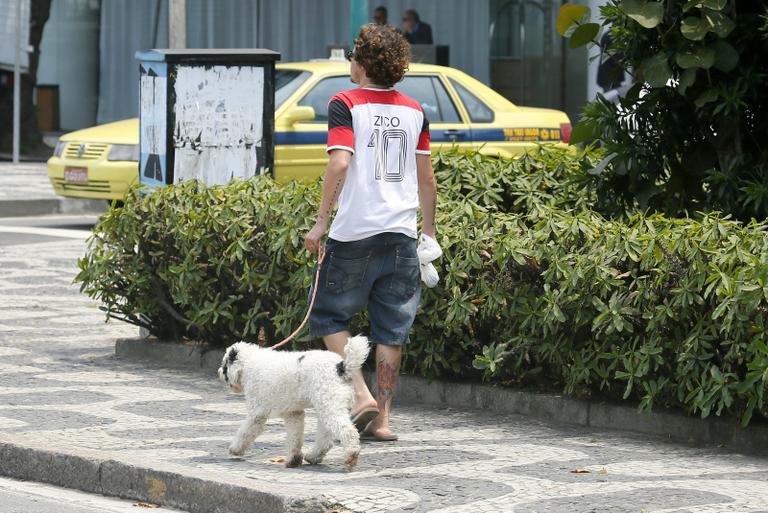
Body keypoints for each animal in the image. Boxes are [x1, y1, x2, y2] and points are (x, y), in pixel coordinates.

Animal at [218, 334, 370, 470]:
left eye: (224, 365)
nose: (219, 372)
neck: (249, 362)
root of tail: (340, 367)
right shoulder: (293, 413)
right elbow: (294, 437)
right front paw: (294, 459)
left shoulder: (257, 413)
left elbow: (245, 431)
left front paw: (235, 449)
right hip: (327, 408)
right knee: (326, 439)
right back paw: (313, 456)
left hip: (329, 407)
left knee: (348, 431)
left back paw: (351, 454)